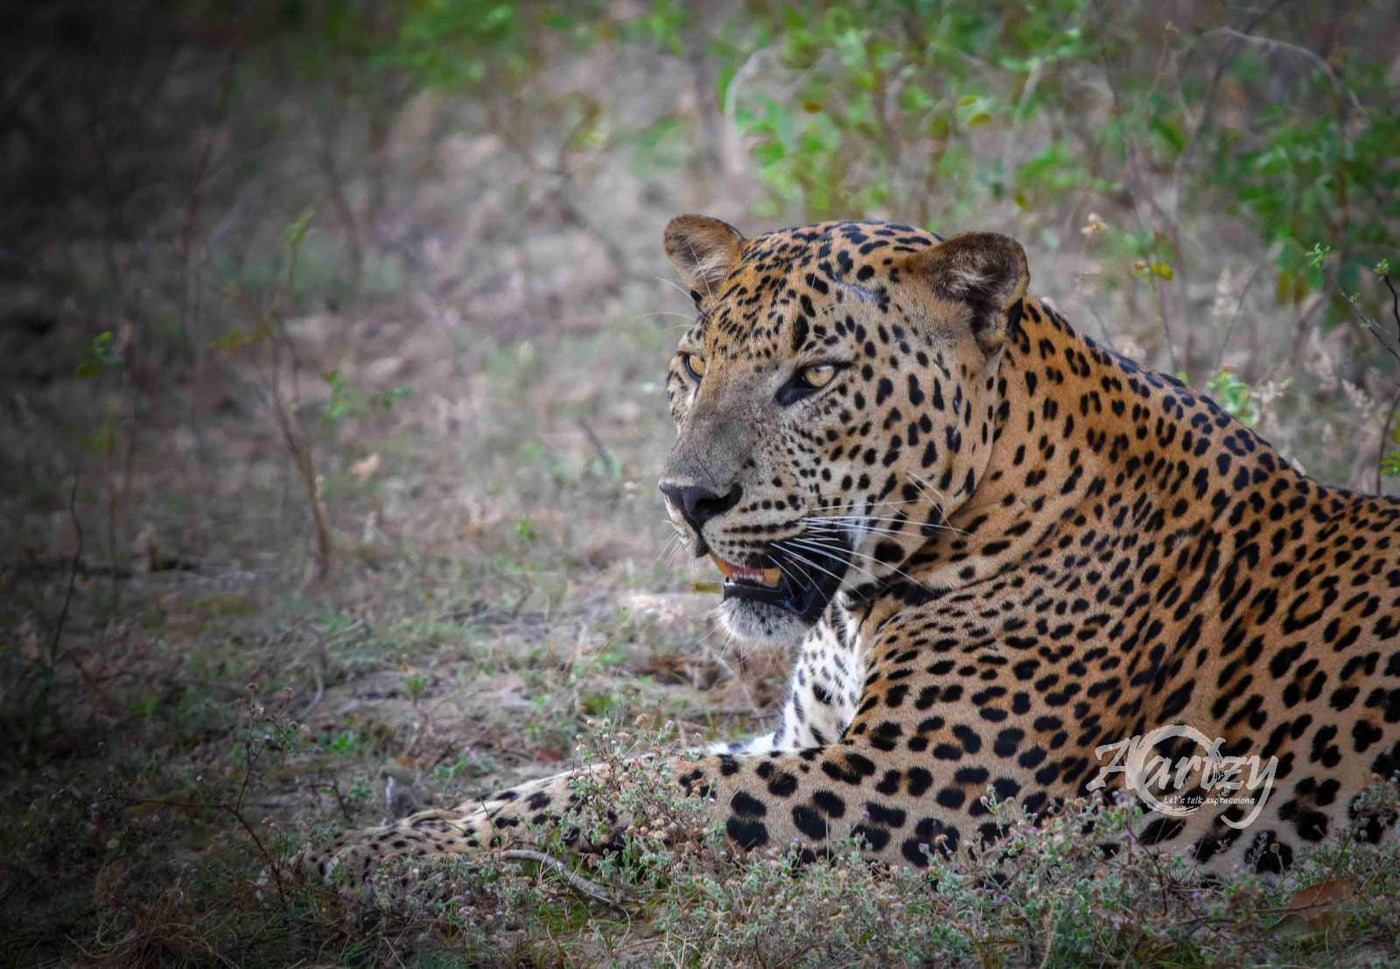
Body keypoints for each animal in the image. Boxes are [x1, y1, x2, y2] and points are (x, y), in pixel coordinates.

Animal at [305, 215, 1400, 890]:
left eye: (815, 376)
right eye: (693, 365)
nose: (686, 498)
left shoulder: (916, 787)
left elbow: (636, 783)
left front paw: (375, 861)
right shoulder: (804, 738)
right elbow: (591, 767)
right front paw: (387, 835)